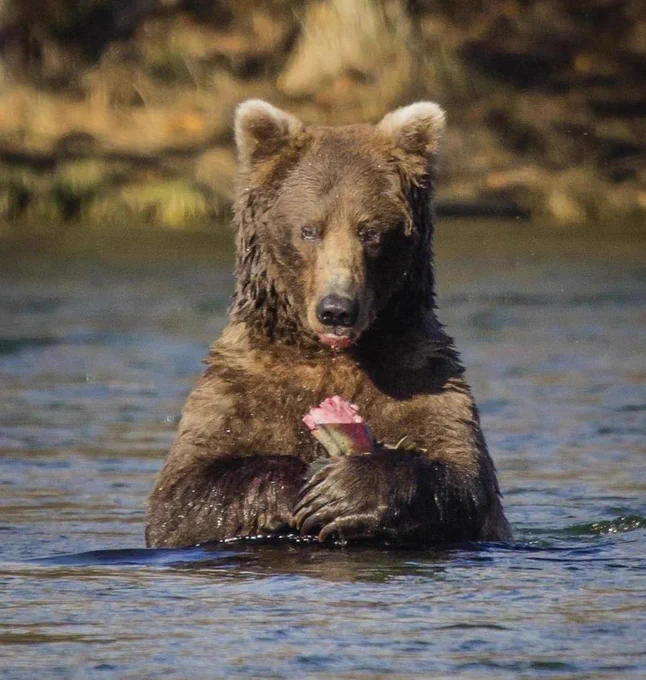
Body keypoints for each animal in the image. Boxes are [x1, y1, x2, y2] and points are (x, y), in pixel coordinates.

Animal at [145, 99, 511, 548]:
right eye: (309, 230)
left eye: (369, 231)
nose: (336, 309)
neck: (330, 356)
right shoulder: (237, 387)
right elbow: (182, 497)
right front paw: (302, 481)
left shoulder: (422, 374)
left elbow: (463, 480)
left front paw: (344, 490)